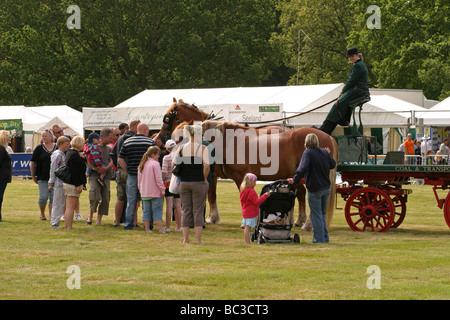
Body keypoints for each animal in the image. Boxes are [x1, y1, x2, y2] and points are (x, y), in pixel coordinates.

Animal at [158, 99, 338, 229]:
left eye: (167, 117)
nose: (160, 140)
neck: (223, 140)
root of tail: (326, 136)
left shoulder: (237, 176)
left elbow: (234, 196)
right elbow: (212, 195)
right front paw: (212, 217)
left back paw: (307, 223)